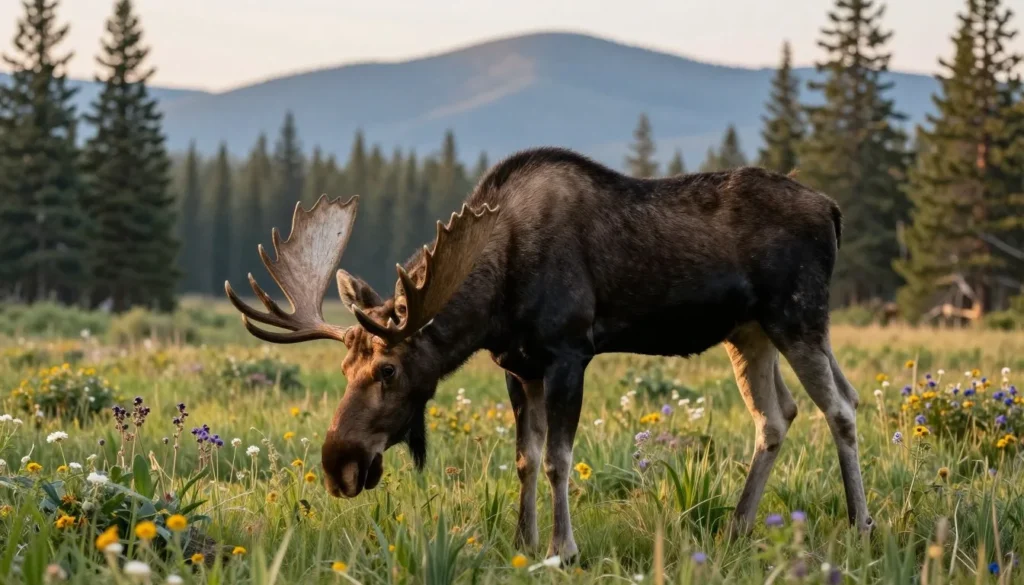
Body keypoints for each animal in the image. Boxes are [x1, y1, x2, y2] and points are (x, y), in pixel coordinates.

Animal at [224, 147, 873, 561]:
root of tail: (835, 210)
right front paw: (523, 541)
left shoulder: (568, 352)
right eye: (343, 369)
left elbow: (560, 458)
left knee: (841, 406)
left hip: (799, 315)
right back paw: (737, 527)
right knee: (777, 415)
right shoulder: (518, 366)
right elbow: (526, 459)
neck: (496, 297)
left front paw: (564, 547)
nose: (338, 465)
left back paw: (860, 523)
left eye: (388, 369)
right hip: (749, 332)